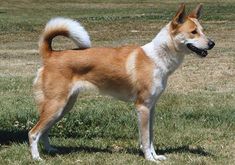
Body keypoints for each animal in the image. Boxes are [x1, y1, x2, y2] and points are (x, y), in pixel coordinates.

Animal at [28, 3, 215, 162]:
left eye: (203, 30)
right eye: (193, 32)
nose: (212, 43)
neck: (157, 58)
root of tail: (52, 54)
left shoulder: (151, 108)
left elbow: (151, 137)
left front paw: (156, 156)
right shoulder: (142, 107)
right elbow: (145, 138)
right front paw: (149, 159)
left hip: (64, 106)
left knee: (44, 131)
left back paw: (51, 150)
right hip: (56, 105)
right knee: (33, 133)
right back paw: (37, 158)